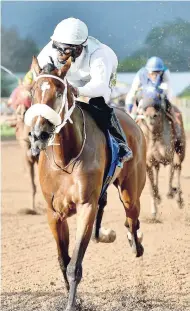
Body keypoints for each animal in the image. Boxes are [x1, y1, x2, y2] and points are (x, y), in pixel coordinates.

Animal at [24, 56, 146, 311]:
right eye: (32, 91)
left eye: (59, 91)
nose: (39, 134)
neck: (66, 159)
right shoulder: (54, 213)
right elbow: (63, 260)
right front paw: (74, 299)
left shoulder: (86, 206)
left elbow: (74, 266)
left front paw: (72, 304)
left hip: (131, 191)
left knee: (132, 218)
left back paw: (135, 243)